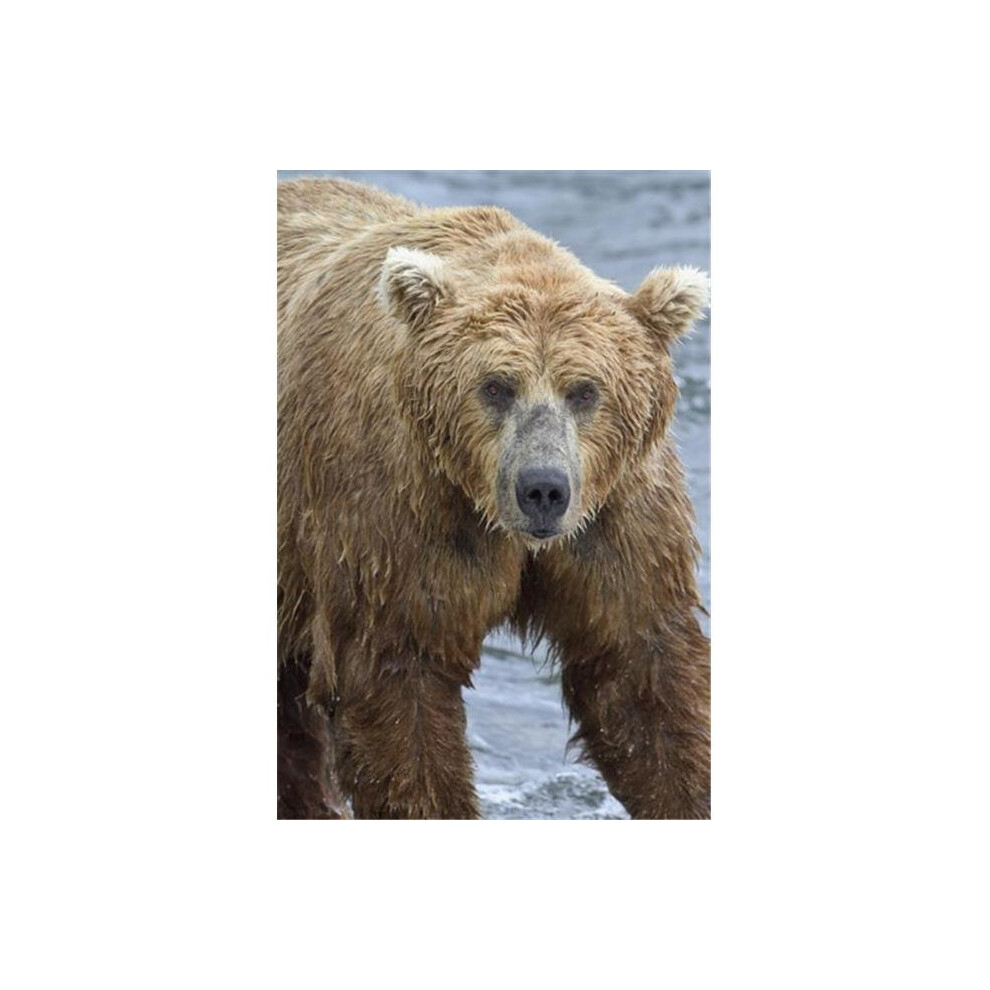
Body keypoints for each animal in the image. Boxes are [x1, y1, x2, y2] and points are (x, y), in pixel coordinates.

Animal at [277, 177, 710, 819]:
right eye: (496, 387)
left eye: (585, 391)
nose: (543, 489)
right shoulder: (394, 513)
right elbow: (401, 691)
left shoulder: (618, 516)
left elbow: (640, 678)